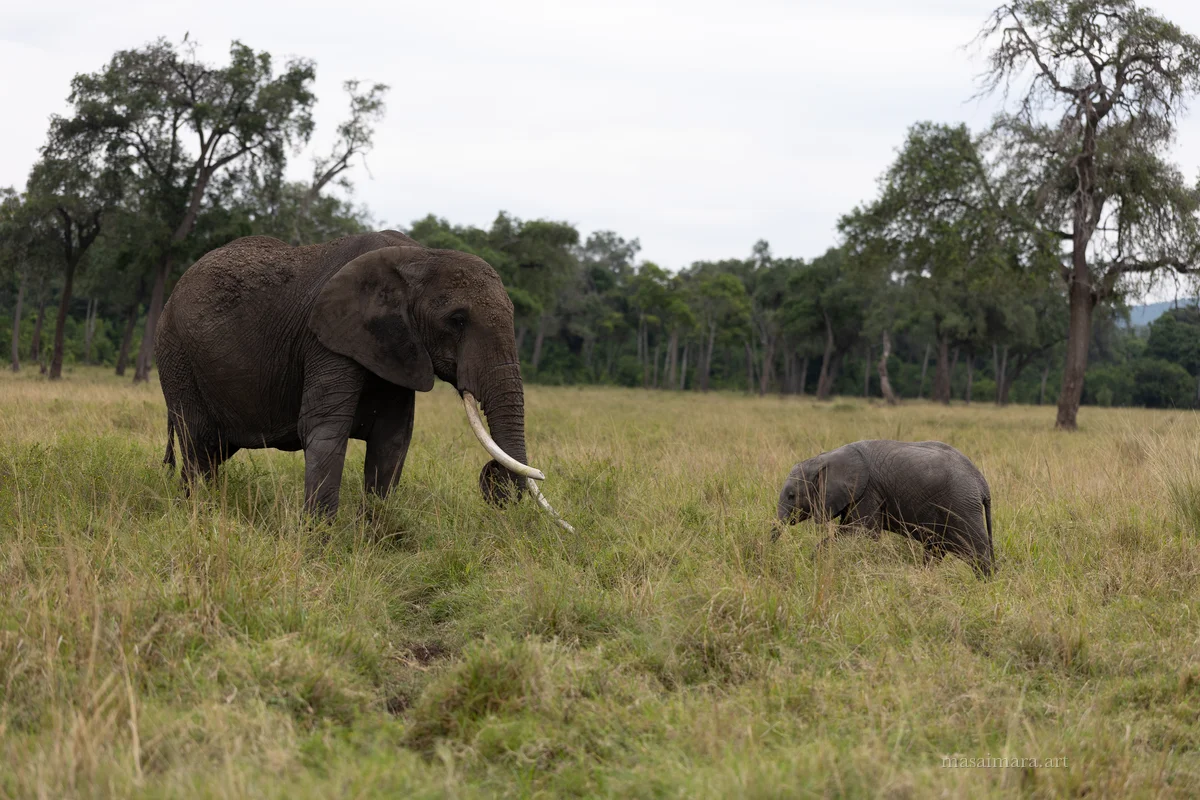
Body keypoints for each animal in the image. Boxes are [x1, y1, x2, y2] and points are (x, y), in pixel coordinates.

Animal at [154, 229, 570, 528]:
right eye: (457, 320)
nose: (493, 483)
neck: (420, 256)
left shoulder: (397, 346)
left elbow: (393, 437)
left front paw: (372, 535)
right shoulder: (327, 339)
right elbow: (325, 430)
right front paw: (319, 543)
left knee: (212, 452)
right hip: (176, 355)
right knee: (197, 444)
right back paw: (198, 514)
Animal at [775, 439, 994, 576]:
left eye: (791, 496)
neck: (824, 458)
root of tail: (982, 483)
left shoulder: (868, 491)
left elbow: (862, 534)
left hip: (961, 505)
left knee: (976, 552)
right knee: (935, 550)